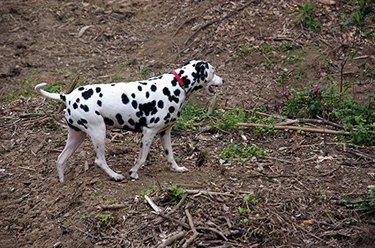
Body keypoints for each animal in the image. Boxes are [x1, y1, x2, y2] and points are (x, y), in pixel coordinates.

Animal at [34, 60, 223, 182]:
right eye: (213, 71)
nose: (223, 80)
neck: (176, 85)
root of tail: (68, 96)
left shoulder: (165, 133)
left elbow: (170, 155)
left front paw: (177, 169)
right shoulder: (149, 132)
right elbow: (142, 158)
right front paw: (133, 172)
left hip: (76, 137)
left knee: (60, 159)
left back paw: (62, 181)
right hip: (99, 132)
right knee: (99, 160)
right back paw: (115, 175)